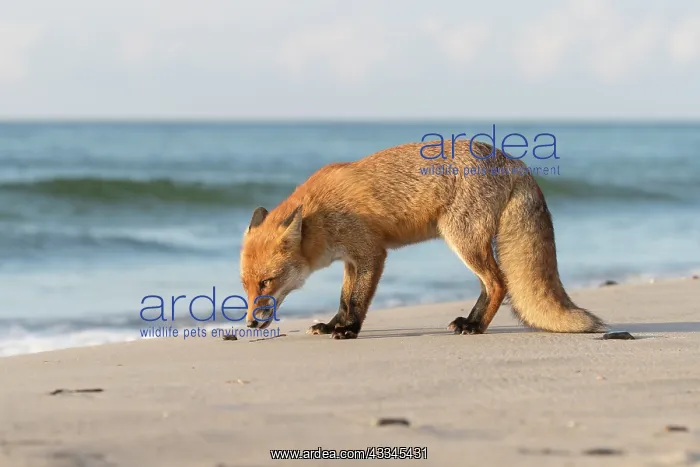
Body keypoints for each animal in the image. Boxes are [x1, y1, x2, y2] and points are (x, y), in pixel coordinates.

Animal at [239, 139, 606, 339]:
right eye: (245, 285)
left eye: (267, 282)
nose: (251, 322)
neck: (320, 217)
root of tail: (513, 161)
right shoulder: (351, 260)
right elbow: (343, 299)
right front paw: (333, 326)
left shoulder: (372, 254)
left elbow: (356, 301)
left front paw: (349, 330)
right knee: (489, 285)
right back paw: (470, 322)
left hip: (462, 240)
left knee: (499, 283)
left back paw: (476, 327)